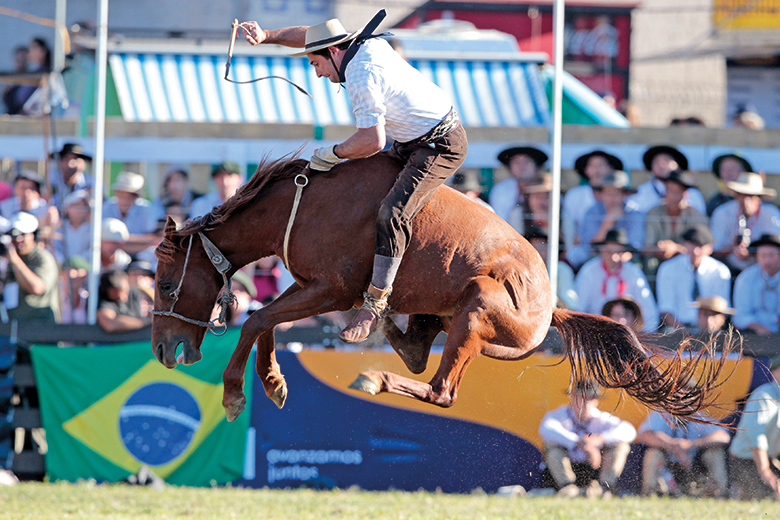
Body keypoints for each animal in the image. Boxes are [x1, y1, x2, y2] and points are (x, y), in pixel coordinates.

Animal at [151, 153, 732, 422]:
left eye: (163, 283)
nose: (160, 350)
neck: (302, 202)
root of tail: (550, 309)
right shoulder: (310, 288)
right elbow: (266, 321)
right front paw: (272, 381)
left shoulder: (331, 290)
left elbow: (257, 318)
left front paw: (234, 392)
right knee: (418, 355)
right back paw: (389, 331)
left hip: (477, 310)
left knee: (441, 390)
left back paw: (373, 376)